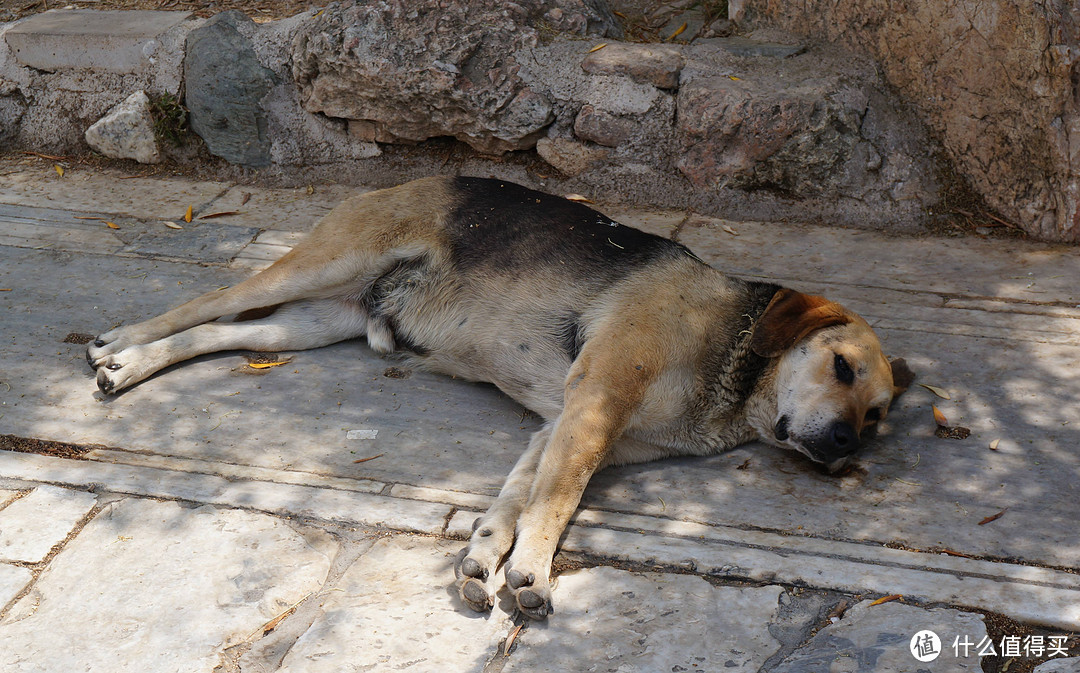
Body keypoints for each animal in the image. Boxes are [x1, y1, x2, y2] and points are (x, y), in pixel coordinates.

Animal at [88, 176, 907, 617]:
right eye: (840, 368)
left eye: (876, 416)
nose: (846, 447)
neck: (734, 360)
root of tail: (414, 177)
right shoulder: (594, 407)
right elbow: (557, 503)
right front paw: (532, 572)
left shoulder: (564, 427)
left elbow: (517, 500)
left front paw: (485, 556)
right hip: (324, 263)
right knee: (208, 302)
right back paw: (120, 341)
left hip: (319, 321)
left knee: (221, 332)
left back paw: (133, 365)